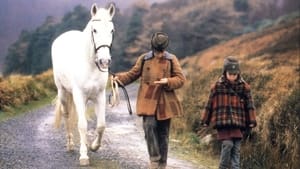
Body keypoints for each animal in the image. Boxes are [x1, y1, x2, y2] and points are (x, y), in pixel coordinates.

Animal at [51, 2, 115, 166]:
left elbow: (101, 125)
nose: (104, 61)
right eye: (95, 30)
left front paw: (94, 147)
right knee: (66, 115)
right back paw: (70, 145)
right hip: (63, 92)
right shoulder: (79, 96)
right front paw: (84, 156)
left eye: (112, 30)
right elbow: (82, 125)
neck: (91, 65)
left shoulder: (99, 96)